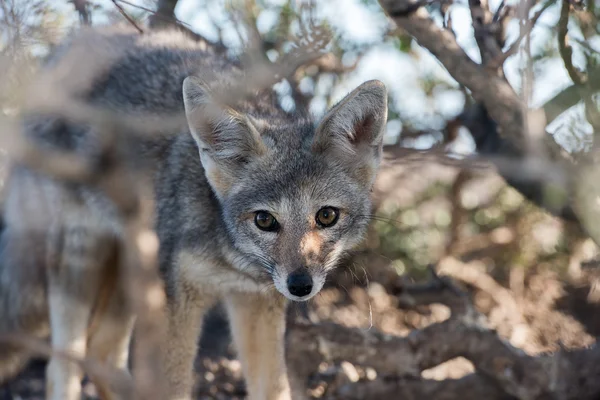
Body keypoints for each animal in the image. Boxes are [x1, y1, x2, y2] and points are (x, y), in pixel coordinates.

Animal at [0, 25, 386, 400]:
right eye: (265, 220)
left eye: (326, 216)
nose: (301, 285)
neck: (230, 259)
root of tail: (66, 48)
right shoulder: (178, 302)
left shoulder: (255, 302)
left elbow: (273, 390)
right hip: (82, 263)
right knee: (62, 364)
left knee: (101, 351)